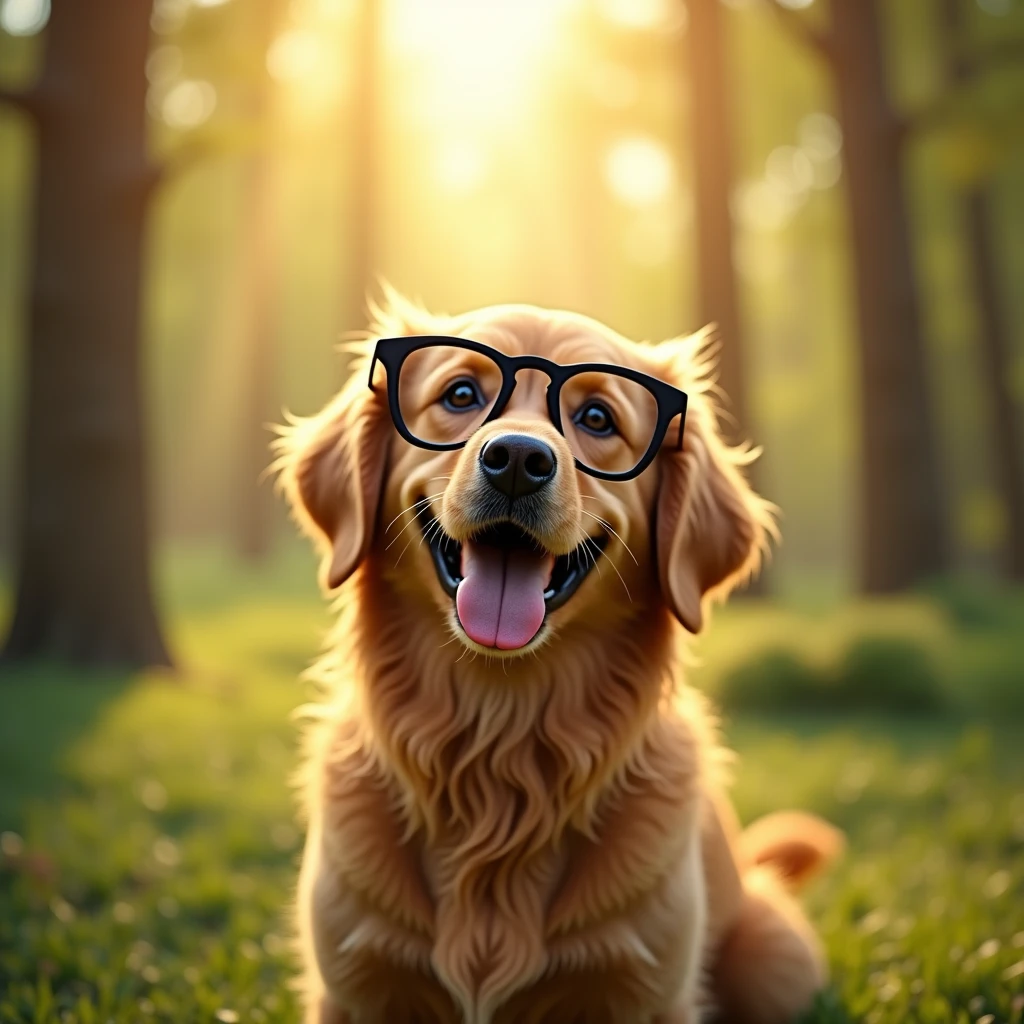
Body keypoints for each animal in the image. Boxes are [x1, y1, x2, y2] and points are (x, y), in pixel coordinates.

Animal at [280, 292, 839, 1019]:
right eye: (460, 394)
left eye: (597, 417)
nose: (518, 459)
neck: (500, 746)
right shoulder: (354, 985)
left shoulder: (648, 993)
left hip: (773, 957)